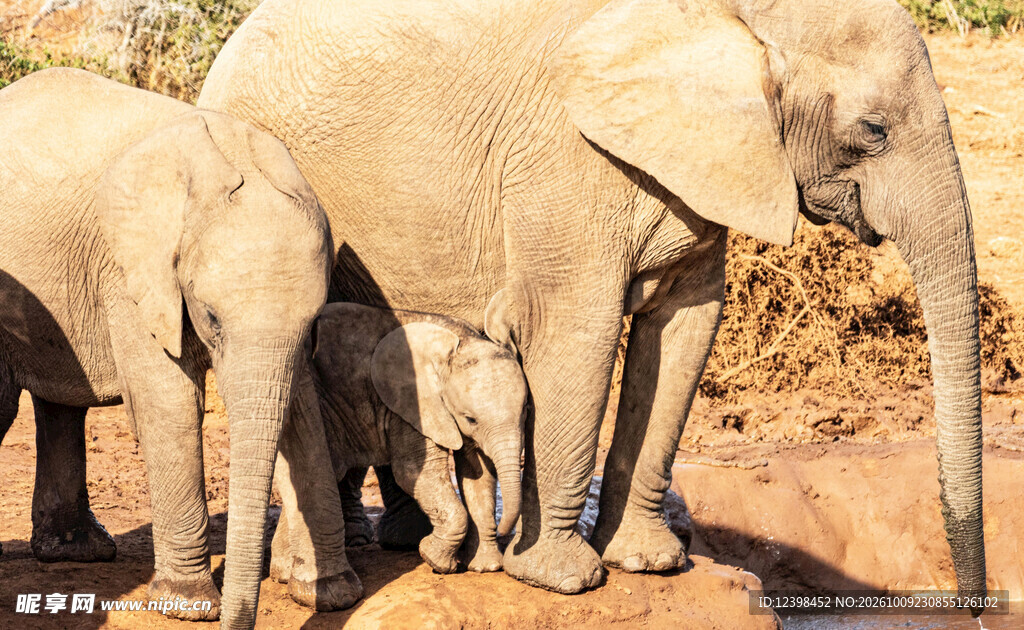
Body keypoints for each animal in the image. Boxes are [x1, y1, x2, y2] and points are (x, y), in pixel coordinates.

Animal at [0, 68, 355, 628]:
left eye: (315, 323)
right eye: (211, 318)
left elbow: (301, 408)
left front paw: (330, 593)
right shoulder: (127, 270)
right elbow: (170, 403)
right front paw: (188, 606)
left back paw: (76, 553)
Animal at [271, 299, 527, 579]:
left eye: (526, 410)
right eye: (470, 419)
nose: (506, 532)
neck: (458, 341)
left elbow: (477, 476)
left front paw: (484, 568)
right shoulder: (410, 406)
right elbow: (414, 473)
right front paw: (435, 560)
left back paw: (284, 572)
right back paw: (287, 573)